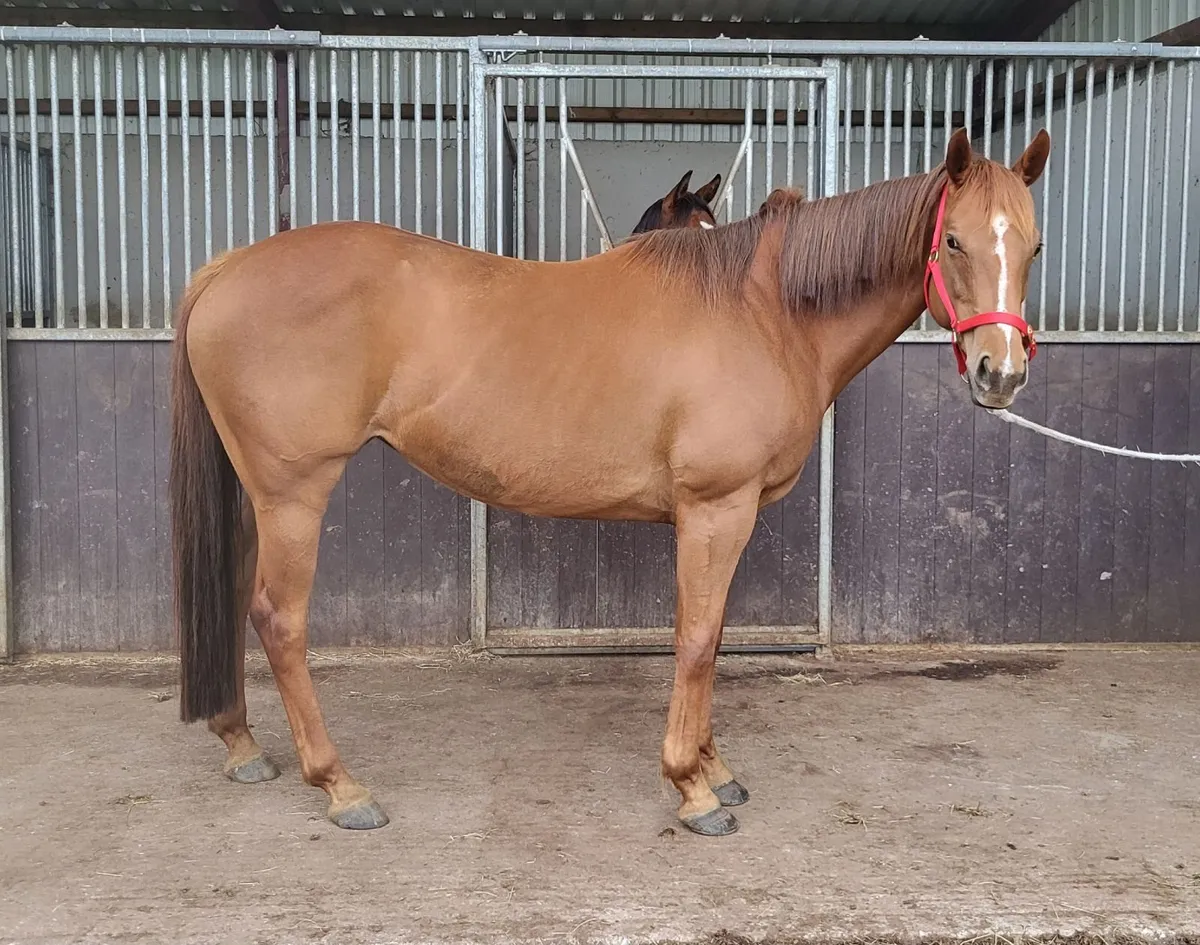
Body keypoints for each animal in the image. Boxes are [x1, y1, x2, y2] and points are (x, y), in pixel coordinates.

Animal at [170, 127, 1049, 837]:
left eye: (1033, 247)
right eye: (956, 242)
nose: (1000, 373)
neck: (763, 311)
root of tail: (229, 268)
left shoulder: (719, 519)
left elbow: (712, 638)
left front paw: (715, 769)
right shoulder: (715, 511)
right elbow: (696, 640)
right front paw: (693, 788)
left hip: (257, 495)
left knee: (237, 599)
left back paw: (243, 745)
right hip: (295, 495)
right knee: (280, 620)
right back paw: (341, 786)